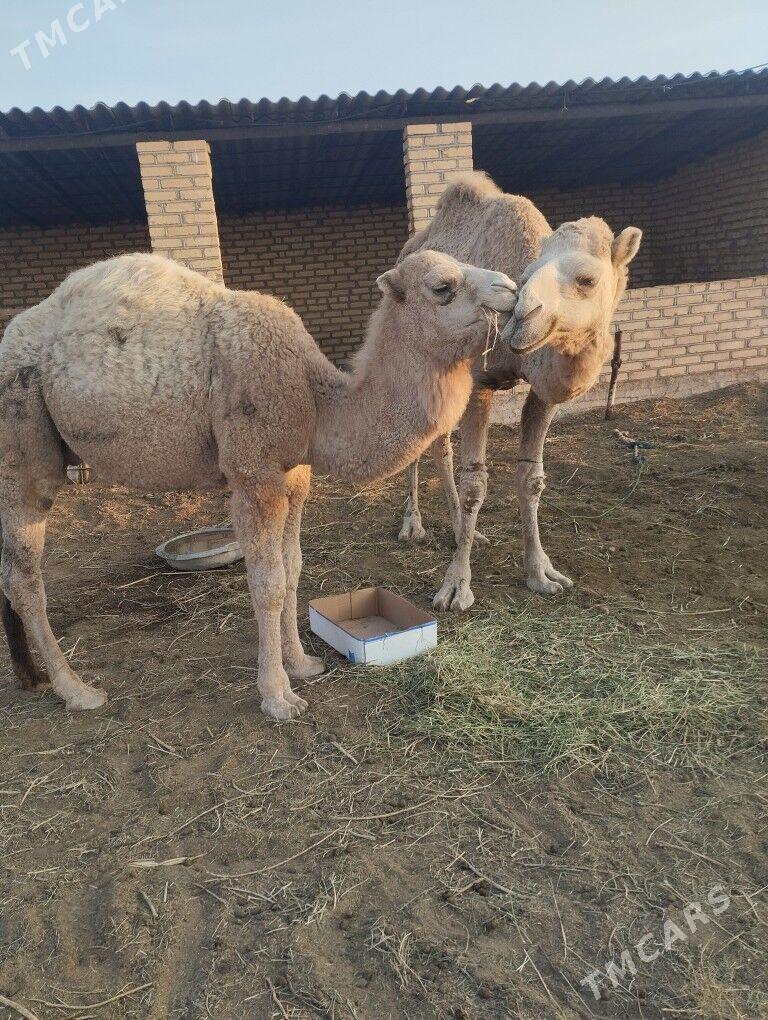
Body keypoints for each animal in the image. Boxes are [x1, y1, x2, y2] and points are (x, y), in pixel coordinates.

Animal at [0, 250, 516, 718]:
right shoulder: (253, 477)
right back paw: (76, 690)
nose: (510, 288)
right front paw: (278, 696)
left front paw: (302, 664)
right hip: (21, 445)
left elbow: (293, 570)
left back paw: (33, 677)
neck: (315, 398)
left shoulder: (295, 476)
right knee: (25, 577)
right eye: (442, 286)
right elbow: (267, 583)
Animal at [397, 172, 642, 610]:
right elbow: (475, 482)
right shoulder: (480, 382)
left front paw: (541, 573)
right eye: (524, 276)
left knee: (440, 444)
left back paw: (463, 531)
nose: (523, 316)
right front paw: (456, 586)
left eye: (587, 279)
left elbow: (531, 478)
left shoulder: (543, 392)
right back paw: (414, 525)